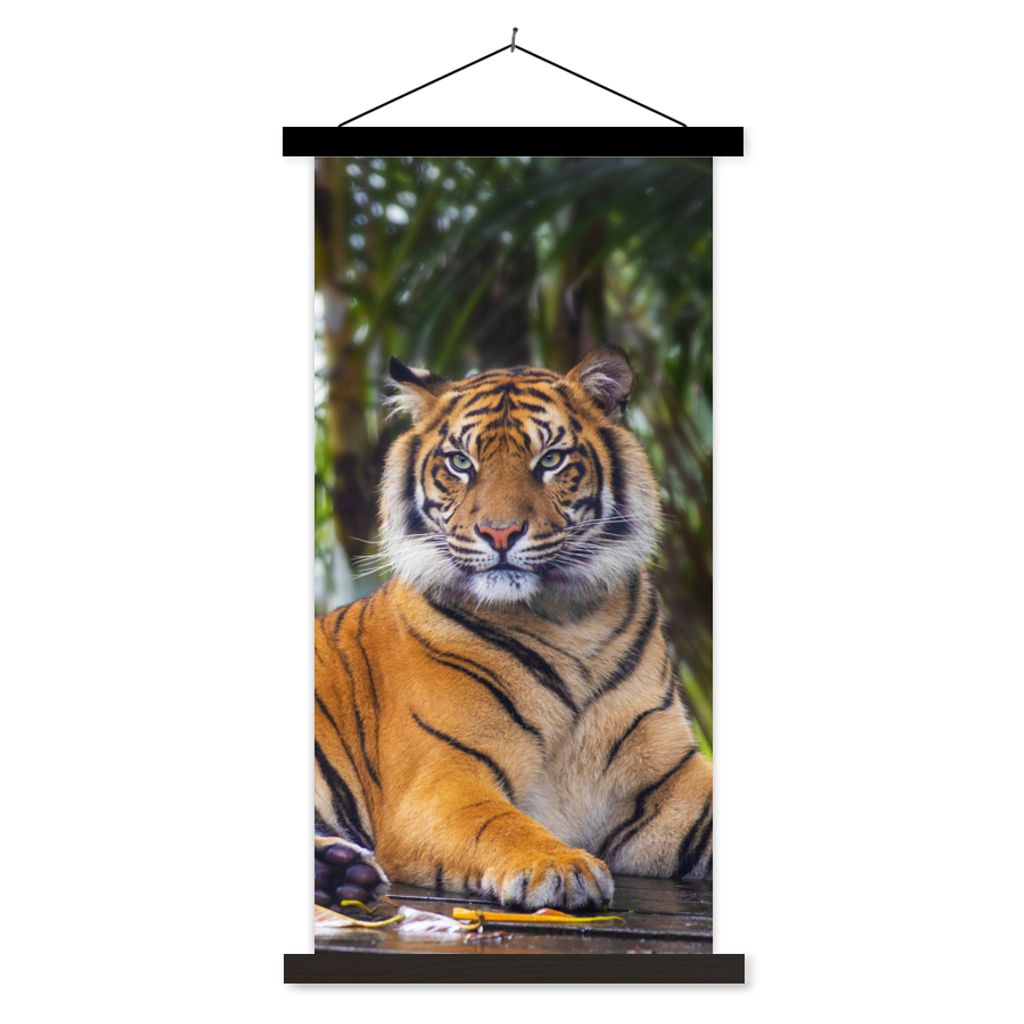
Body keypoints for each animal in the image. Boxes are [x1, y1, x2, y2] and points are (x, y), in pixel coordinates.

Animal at [313, 347, 712, 911]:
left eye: (550, 460)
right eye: (461, 462)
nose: (499, 533)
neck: (569, 620)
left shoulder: (671, 781)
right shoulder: (443, 778)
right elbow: (498, 822)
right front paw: (560, 866)